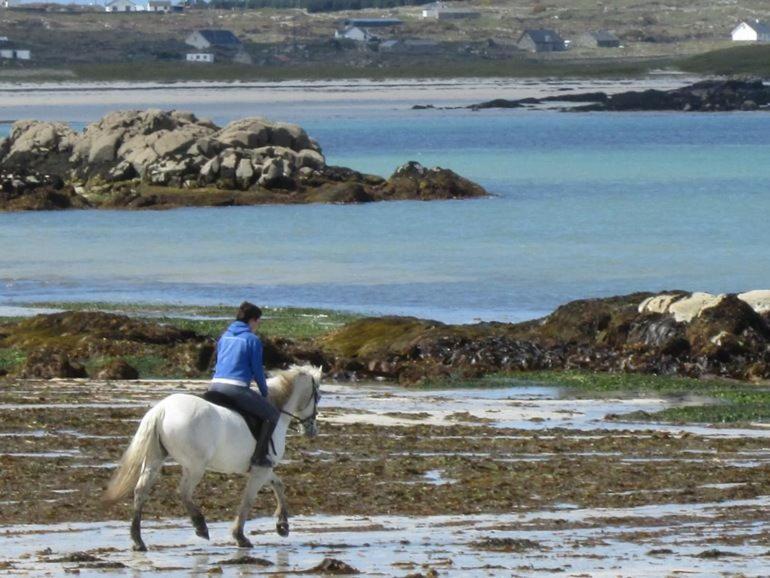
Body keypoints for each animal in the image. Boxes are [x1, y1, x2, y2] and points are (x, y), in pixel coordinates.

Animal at [103, 364, 320, 548]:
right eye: (317, 396)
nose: (311, 430)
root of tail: (162, 410)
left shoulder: (261, 468)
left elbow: (278, 485)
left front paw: (282, 525)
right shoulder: (261, 469)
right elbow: (248, 500)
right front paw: (240, 536)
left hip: (155, 460)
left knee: (141, 491)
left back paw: (138, 540)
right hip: (195, 466)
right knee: (183, 492)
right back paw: (200, 526)